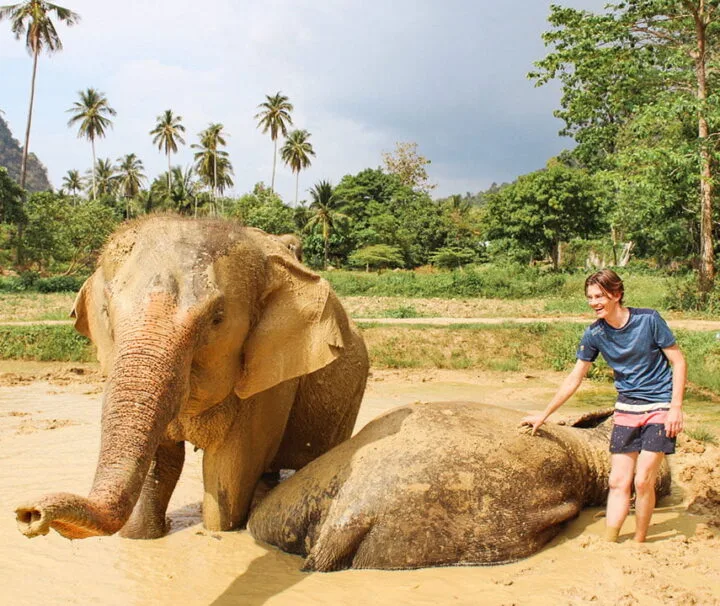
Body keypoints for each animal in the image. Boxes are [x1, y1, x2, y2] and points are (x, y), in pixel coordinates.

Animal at [15, 216, 369, 540]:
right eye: (106, 312)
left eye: (217, 319)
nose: (28, 514)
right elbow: (159, 462)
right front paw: (143, 536)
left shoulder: (270, 382)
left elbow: (227, 473)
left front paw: (219, 531)